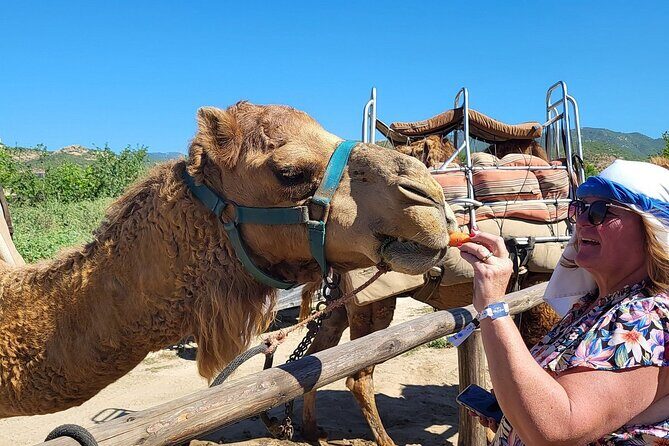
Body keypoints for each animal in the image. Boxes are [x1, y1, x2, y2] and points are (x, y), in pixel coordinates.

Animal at [300, 135, 563, 445]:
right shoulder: (540, 309)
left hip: (342, 302)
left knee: (316, 356)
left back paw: (312, 431)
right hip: (374, 303)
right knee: (358, 374)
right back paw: (385, 440)